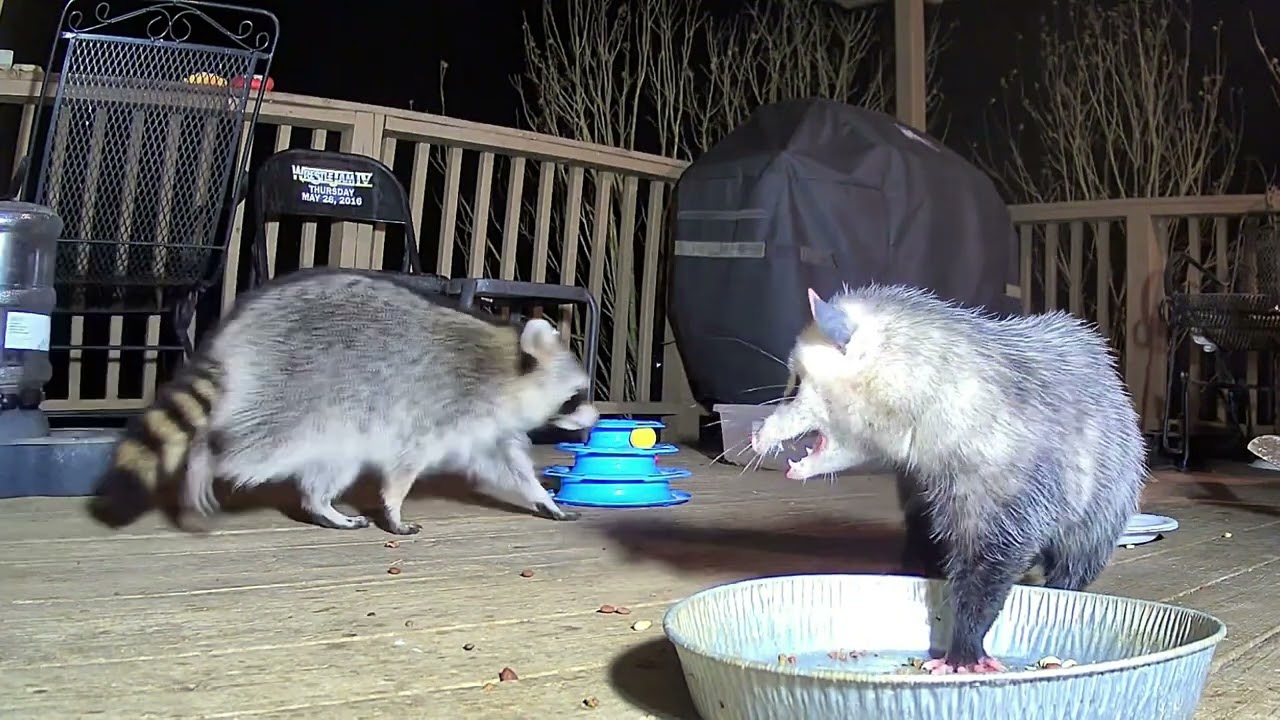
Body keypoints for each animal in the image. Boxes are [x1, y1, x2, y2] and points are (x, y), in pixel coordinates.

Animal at [88, 268, 599, 535]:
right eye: (576, 397)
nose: (597, 416)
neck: (510, 367)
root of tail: (235, 332)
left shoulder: (488, 428)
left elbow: (506, 465)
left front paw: (542, 498)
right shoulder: (447, 405)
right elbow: (405, 461)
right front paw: (393, 506)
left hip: (333, 417)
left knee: (332, 463)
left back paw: (321, 505)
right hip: (296, 386)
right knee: (255, 446)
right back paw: (205, 457)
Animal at [751, 285, 1147, 675]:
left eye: (796, 384)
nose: (756, 436)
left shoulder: (1007, 490)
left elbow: (995, 561)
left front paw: (965, 651)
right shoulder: (922, 486)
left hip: (1102, 513)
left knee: (1077, 562)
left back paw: (1063, 585)